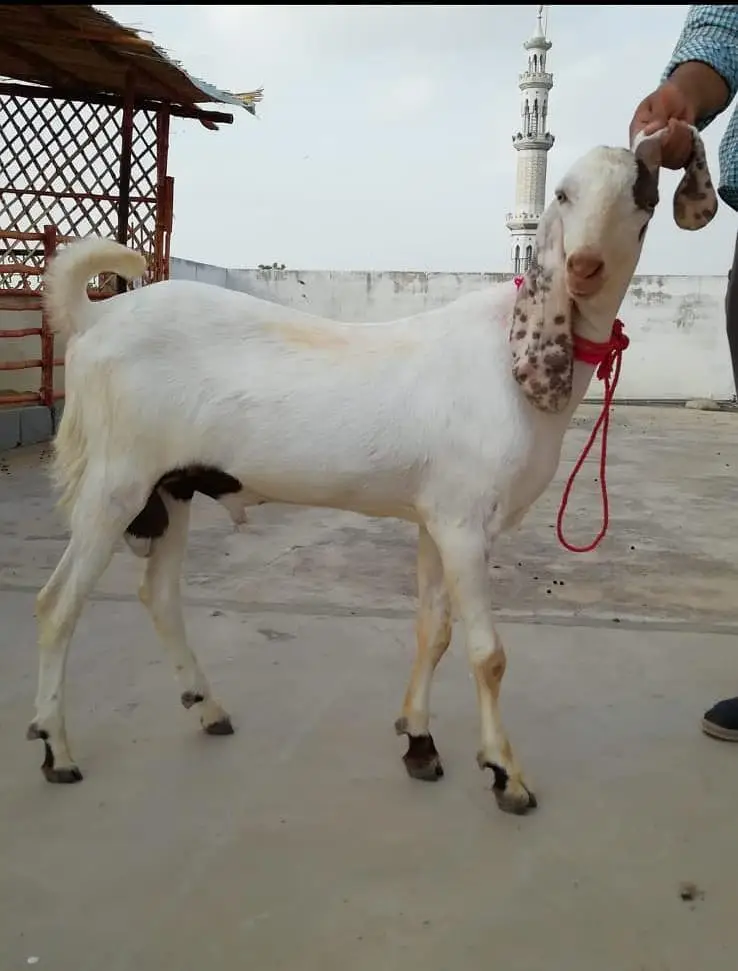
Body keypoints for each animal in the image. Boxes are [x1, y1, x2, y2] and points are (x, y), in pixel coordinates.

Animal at [29, 128, 716, 814]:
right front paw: (505, 774)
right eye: (565, 194)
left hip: (172, 486)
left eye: (643, 195)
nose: (584, 267)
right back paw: (56, 750)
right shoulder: (465, 522)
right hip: (117, 479)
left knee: (159, 595)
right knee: (57, 603)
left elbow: (433, 631)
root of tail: (95, 318)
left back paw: (208, 708)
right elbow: (487, 653)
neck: (511, 358)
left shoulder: (436, 518)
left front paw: (419, 742)